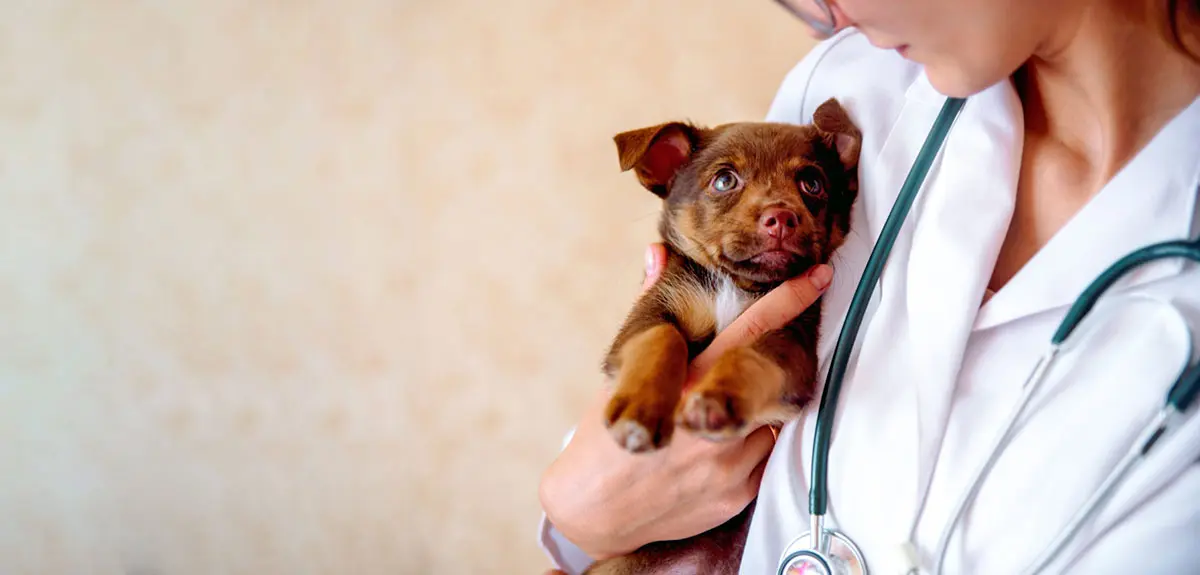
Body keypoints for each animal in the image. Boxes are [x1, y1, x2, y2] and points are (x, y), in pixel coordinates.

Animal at [583, 100, 859, 575]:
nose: (782, 217)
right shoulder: (649, 315)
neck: (736, 285)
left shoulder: (793, 349)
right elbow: (663, 341)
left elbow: (750, 358)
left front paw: (721, 397)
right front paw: (641, 409)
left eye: (813, 183)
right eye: (725, 180)